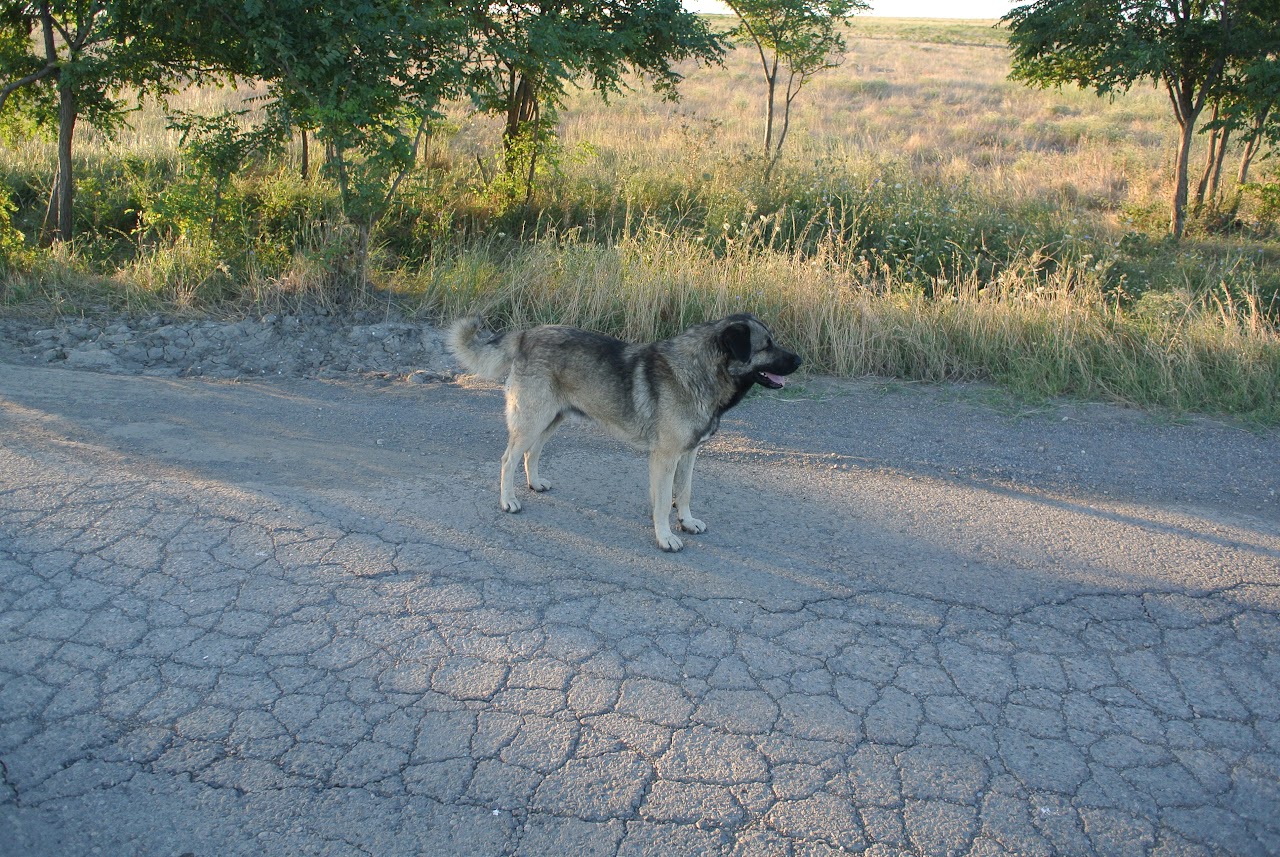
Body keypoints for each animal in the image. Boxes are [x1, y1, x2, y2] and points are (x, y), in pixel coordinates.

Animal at [445, 313, 793, 550]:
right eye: (766, 345)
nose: (799, 360)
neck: (699, 372)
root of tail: (525, 335)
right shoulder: (665, 458)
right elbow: (664, 501)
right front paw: (665, 536)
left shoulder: (688, 455)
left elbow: (683, 492)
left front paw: (686, 521)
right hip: (532, 421)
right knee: (508, 460)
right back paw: (508, 501)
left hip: (551, 421)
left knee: (532, 454)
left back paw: (535, 483)